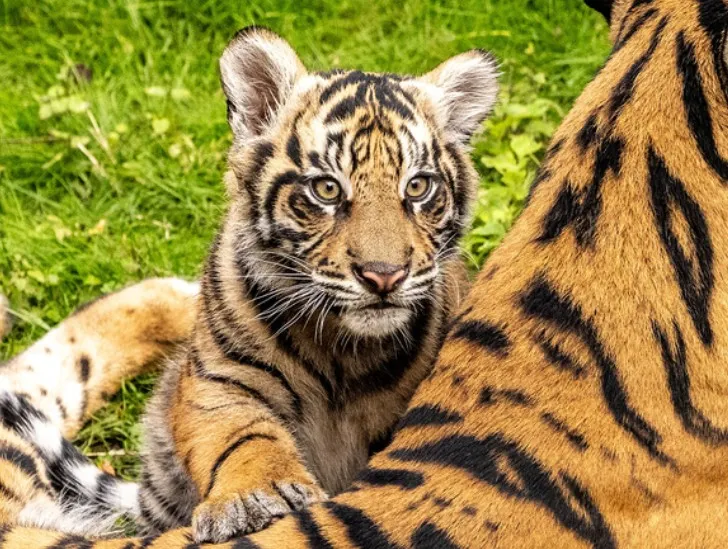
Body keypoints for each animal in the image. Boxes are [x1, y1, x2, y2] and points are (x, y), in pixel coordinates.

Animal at [4, 0, 728, 544]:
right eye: (327, 189)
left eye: (418, 188)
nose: (383, 275)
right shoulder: (217, 378)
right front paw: (256, 497)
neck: (339, 351)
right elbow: (240, 434)